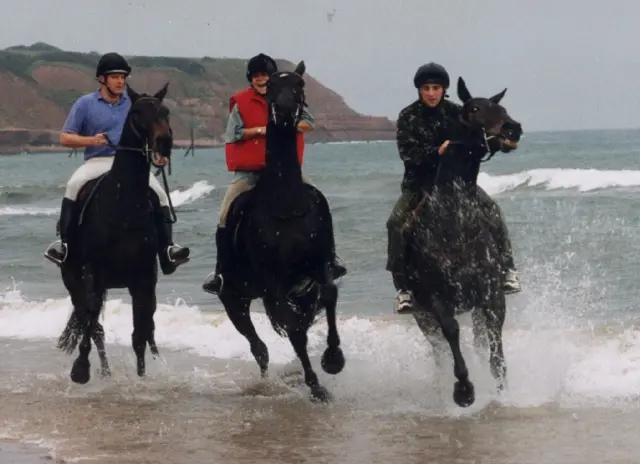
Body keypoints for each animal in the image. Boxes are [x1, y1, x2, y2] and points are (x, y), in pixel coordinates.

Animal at [55, 84, 174, 384]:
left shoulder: (144, 278)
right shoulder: (93, 274)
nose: (164, 142)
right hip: (73, 279)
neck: (124, 206)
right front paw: (80, 369)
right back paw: (103, 371)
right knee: (90, 321)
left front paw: (142, 377)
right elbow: (91, 321)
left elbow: (141, 332)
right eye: (138, 112)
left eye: (166, 111)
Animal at [212, 61, 344, 402]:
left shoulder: (320, 265)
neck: (286, 206)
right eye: (270, 85)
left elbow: (329, 295)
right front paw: (316, 386)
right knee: (259, 347)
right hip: (234, 299)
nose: (284, 110)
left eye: (299, 84)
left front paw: (333, 358)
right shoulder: (272, 283)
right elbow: (294, 330)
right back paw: (268, 383)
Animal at [402, 78, 524, 408]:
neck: (454, 221)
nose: (513, 128)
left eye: (502, 108)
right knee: (439, 351)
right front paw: (464, 390)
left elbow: (495, 352)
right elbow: (452, 334)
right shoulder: (437, 300)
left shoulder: (491, 295)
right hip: (421, 316)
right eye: (475, 109)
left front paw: (501, 392)